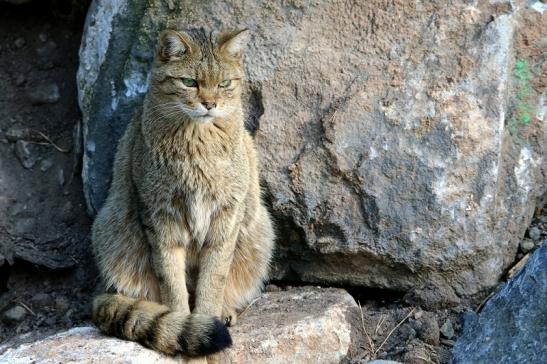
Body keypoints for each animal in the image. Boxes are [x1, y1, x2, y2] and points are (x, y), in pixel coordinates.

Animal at [92, 27, 278, 356]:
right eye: (189, 82)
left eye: (224, 84)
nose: (209, 103)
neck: (198, 141)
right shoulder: (160, 217)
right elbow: (171, 281)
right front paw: (182, 320)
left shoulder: (226, 216)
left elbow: (213, 279)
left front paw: (207, 315)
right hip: (111, 235)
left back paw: (225, 311)